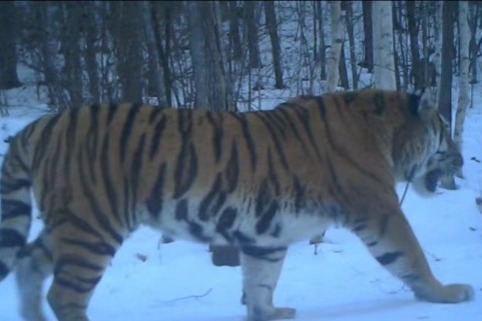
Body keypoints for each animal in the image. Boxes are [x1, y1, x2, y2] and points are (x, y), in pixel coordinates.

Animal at [0, 88, 474, 320]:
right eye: (442, 129)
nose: (461, 157)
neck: (386, 137)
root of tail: (36, 125)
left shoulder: (266, 234)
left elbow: (260, 280)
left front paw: (271, 313)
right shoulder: (380, 209)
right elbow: (412, 256)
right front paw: (449, 293)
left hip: (71, 225)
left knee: (29, 263)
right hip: (92, 225)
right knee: (65, 294)